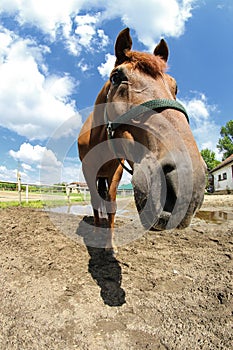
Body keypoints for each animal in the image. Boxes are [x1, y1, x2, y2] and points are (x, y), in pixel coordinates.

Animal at [78, 28, 206, 250]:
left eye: (175, 87)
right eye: (116, 76)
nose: (187, 178)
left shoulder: (115, 172)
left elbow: (111, 204)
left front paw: (110, 242)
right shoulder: (89, 171)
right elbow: (95, 202)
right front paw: (97, 236)